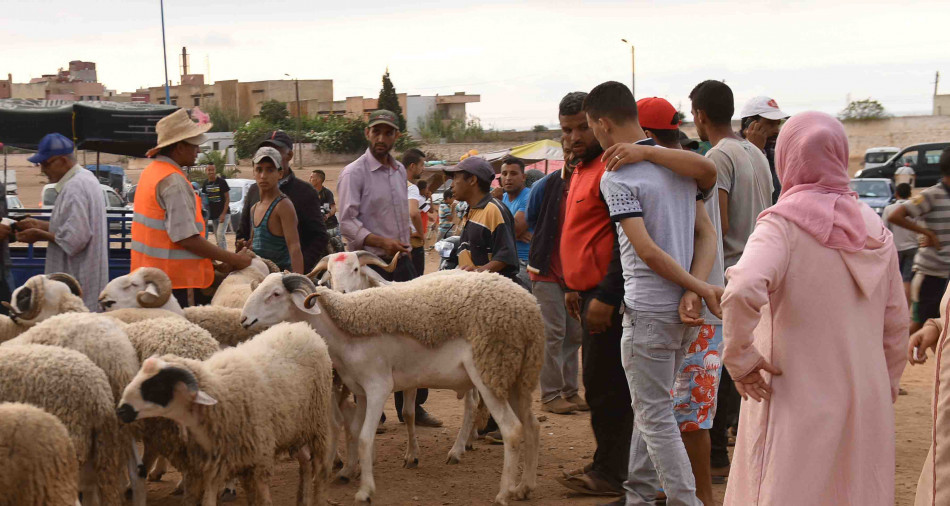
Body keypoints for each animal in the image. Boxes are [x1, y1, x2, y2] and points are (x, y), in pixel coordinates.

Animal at [118, 322, 334, 506]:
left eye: (158, 387)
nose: (121, 410)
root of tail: (303, 327)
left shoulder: (258, 463)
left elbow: (263, 501)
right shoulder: (210, 468)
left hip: (319, 425)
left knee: (321, 470)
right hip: (294, 429)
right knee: (305, 462)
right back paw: (303, 499)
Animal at [242, 272, 548, 506]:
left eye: (275, 294)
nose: (244, 319)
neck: (342, 331)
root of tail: (529, 308)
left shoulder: (378, 387)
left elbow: (365, 438)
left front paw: (365, 491)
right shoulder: (361, 390)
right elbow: (354, 431)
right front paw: (351, 471)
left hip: (490, 371)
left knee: (512, 430)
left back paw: (503, 492)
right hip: (517, 376)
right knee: (532, 426)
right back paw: (525, 487)